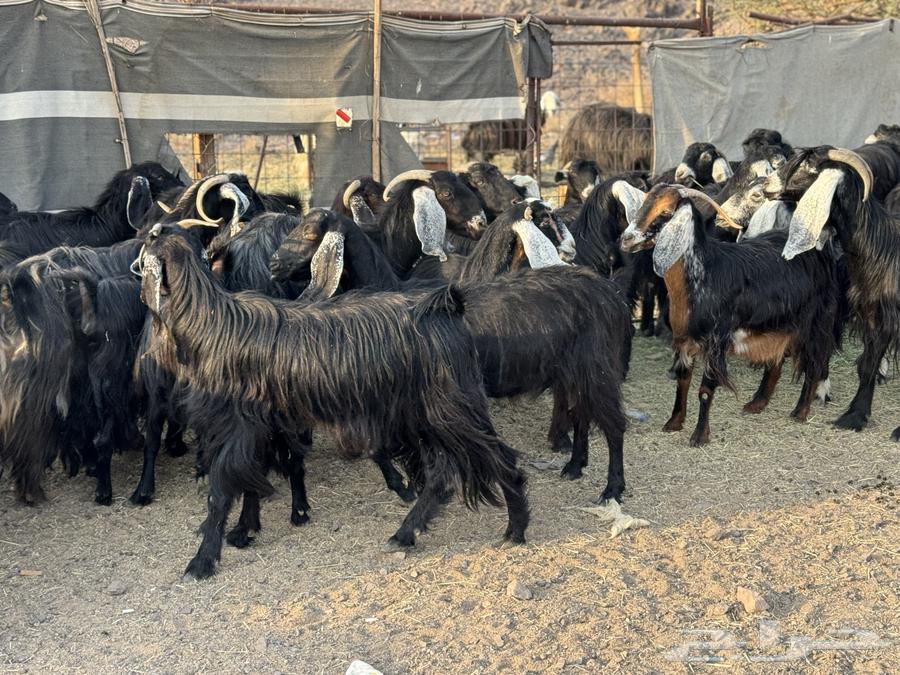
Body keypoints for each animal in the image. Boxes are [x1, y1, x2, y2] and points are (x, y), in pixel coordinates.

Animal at [137, 227, 529, 579]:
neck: (209, 323)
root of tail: (447, 307)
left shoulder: (238, 425)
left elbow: (221, 493)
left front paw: (202, 561)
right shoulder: (264, 427)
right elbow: (251, 482)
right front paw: (243, 532)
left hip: (452, 409)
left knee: (501, 459)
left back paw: (515, 529)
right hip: (423, 417)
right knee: (442, 476)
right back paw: (405, 534)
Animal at [271, 208, 632, 493]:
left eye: (309, 232)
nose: (274, 264)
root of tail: (607, 291)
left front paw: (405, 486)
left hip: (596, 365)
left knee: (614, 425)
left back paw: (612, 488)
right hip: (575, 370)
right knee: (583, 414)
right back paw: (574, 467)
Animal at [620, 184, 843, 446]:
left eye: (665, 212)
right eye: (643, 204)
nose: (626, 239)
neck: (705, 272)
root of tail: (820, 250)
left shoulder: (716, 341)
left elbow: (705, 391)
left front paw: (699, 436)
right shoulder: (684, 340)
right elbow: (683, 381)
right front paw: (674, 423)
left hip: (816, 321)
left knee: (814, 362)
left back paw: (800, 411)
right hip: (780, 323)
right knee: (776, 360)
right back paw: (757, 403)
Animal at [764, 146, 900, 439]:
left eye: (810, 166)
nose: (766, 185)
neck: (884, 248)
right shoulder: (874, 315)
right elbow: (867, 365)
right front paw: (854, 416)